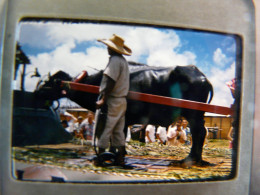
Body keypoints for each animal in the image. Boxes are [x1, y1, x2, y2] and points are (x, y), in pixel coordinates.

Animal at [35, 61, 213, 166]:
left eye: (52, 82)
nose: (37, 92)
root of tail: (202, 76)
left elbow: (115, 135)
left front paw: (111, 155)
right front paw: (119, 154)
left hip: (193, 114)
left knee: (199, 133)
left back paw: (191, 159)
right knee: (200, 133)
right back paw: (196, 159)